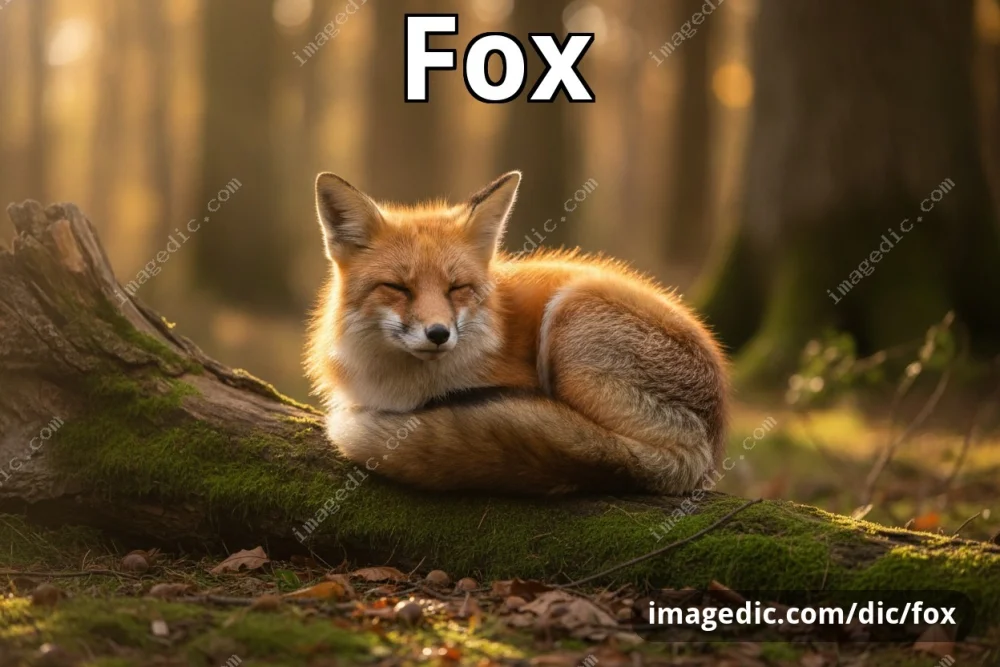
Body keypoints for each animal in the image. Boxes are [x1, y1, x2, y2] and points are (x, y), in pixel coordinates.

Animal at [305, 171, 729, 495]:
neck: (401, 386)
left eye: (456, 288)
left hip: (571, 314)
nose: (439, 334)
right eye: (398, 288)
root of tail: (709, 443)